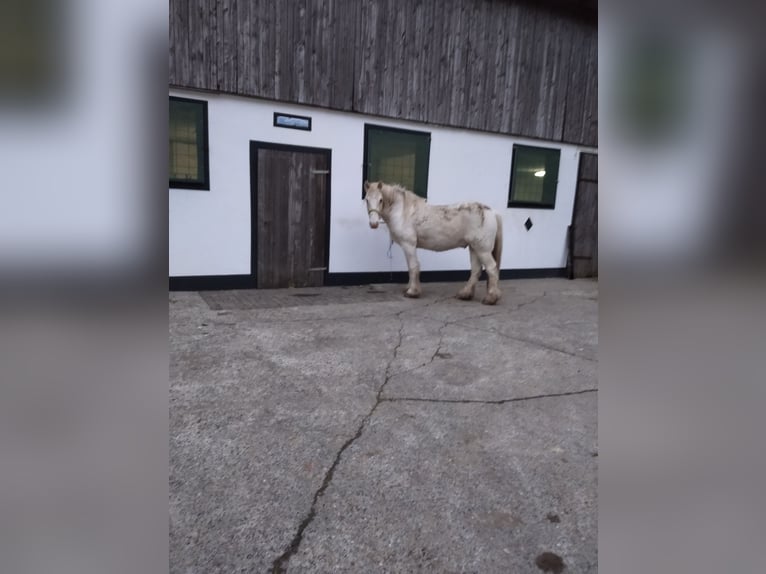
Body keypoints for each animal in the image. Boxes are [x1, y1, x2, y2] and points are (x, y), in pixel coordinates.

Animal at [364, 181, 504, 306]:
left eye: (380, 200)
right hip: (474, 248)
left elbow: (413, 266)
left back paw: (490, 298)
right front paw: (409, 288)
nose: (373, 224)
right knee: (476, 270)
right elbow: (411, 267)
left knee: (491, 268)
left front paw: (412, 292)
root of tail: (492, 212)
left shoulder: (409, 245)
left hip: (483, 250)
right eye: (366, 200)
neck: (403, 212)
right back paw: (465, 294)